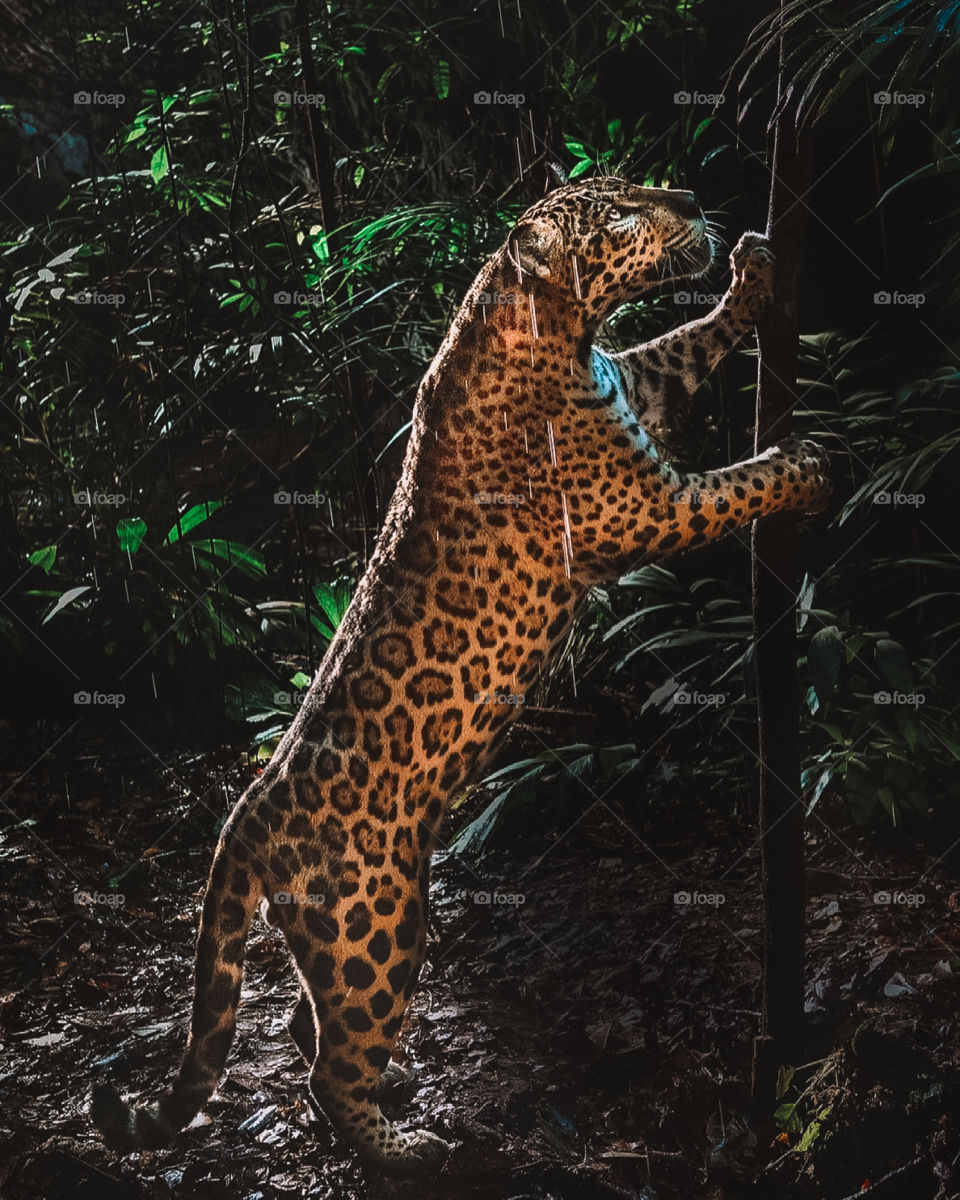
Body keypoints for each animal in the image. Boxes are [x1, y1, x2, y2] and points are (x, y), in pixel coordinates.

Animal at [91, 176, 830, 1174]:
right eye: (620, 213)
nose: (683, 194)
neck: (559, 331)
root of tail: (241, 825)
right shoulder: (644, 508)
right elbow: (736, 484)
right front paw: (805, 465)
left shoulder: (638, 383)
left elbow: (683, 341)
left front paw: (750, 276)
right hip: (379, 925)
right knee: (330, 1065)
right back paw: (406, 1146)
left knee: (306, 1021)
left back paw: (395, 1089)